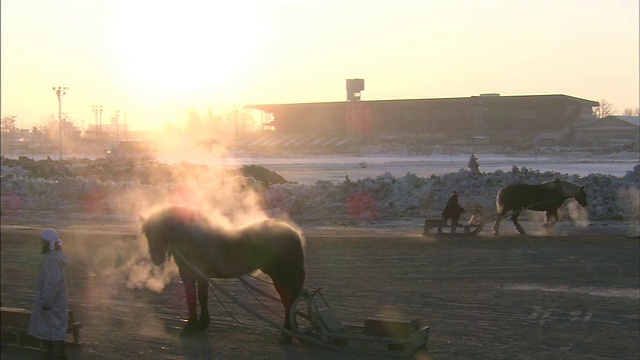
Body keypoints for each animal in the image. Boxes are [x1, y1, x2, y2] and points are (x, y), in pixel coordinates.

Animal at [141, 207, 306, 342]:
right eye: (147, 234)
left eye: (155, 232)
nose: (156, 259)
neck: (191, 237)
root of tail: (293, 233)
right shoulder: (201, 277)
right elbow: (202, 298)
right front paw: (201, 324)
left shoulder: (188, 275)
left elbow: (191, 300)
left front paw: (190, 327)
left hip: (281, 277)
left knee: (288, 302)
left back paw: (287, 333)